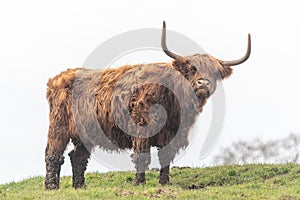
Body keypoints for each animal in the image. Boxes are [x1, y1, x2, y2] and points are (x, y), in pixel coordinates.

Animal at [44, 21, 251, 189]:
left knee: (77, 157)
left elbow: (166, 157)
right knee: (53, 154)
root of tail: (59, 77)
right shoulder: (142, 128)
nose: (203, 83)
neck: (175, 101)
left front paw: (165, 182)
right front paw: (139, 183)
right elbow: (142, 155)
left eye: (214, 73)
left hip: (85, 131)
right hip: (59, 125)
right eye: (192, 69)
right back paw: (51, 186)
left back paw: (79, 186)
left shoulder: (173, 133)